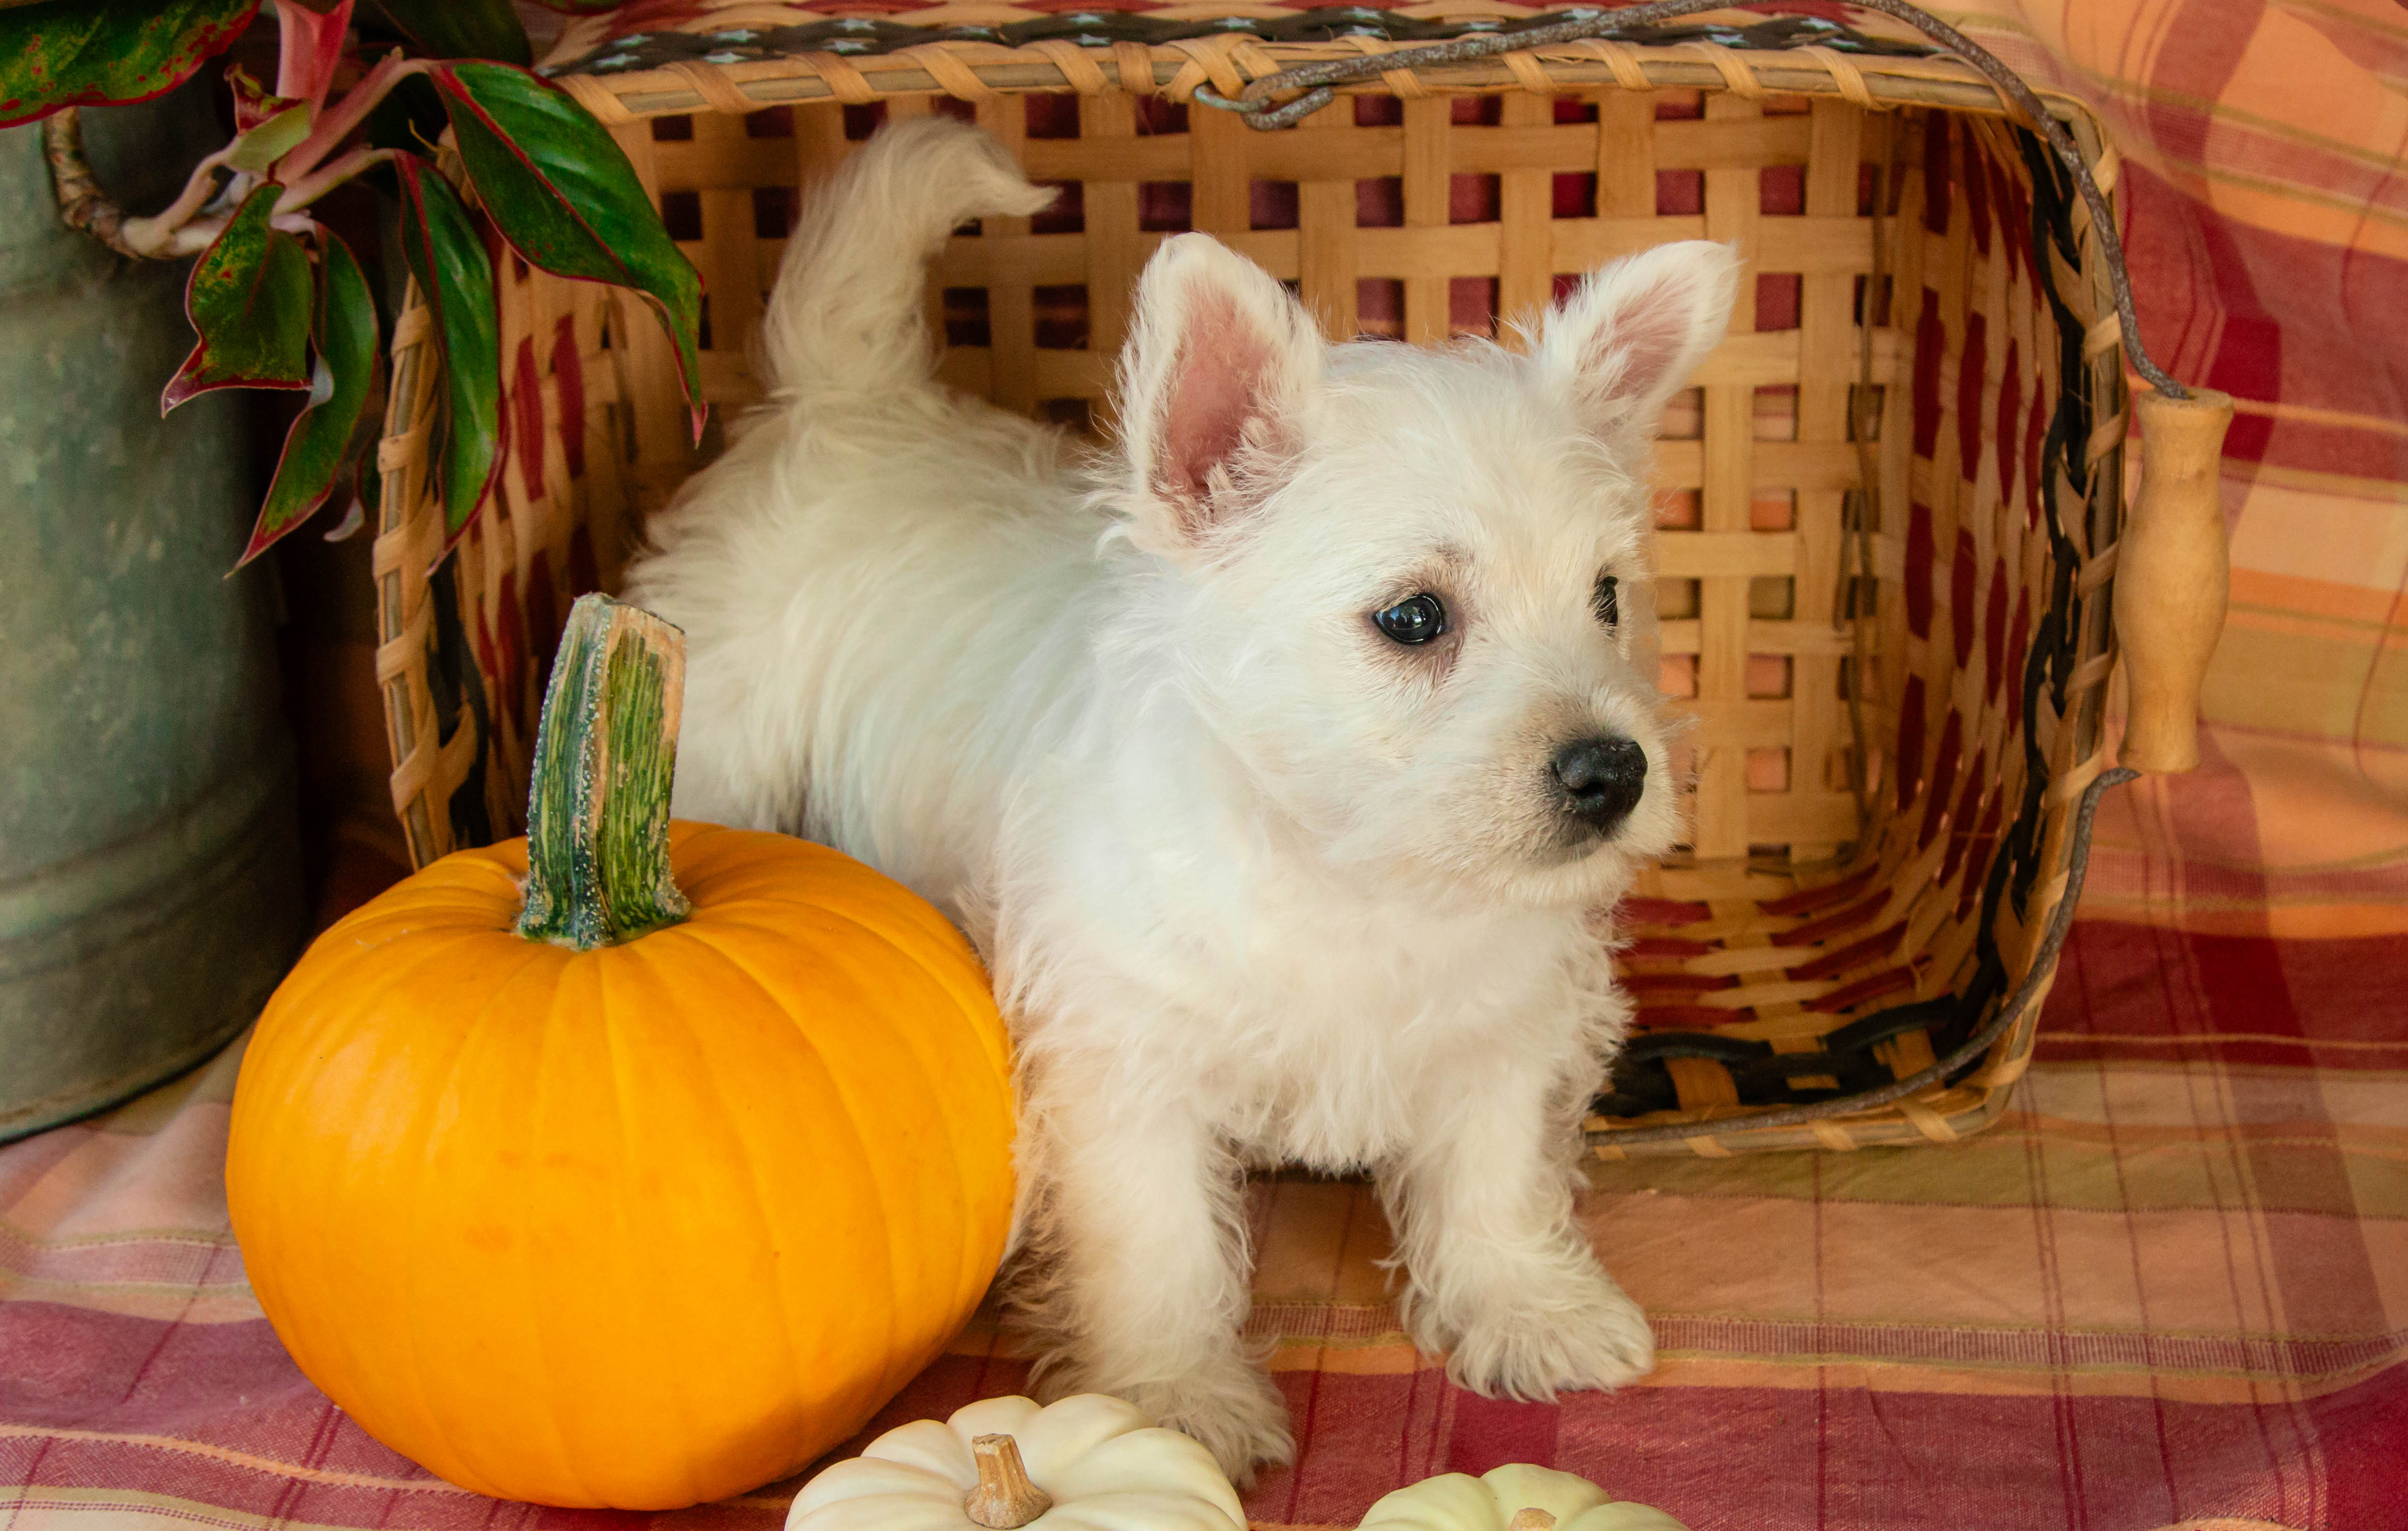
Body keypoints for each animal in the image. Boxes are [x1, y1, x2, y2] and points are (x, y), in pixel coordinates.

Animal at [626, 114, 1733, 1473]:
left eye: (1608, 597)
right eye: (1414, 617)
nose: (1613, 770)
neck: (1353, 875)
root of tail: (846, 401)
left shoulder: (1503, 1024)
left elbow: (1493, 1170)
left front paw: (1531, 1312)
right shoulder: (1121, 1061)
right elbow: (1154, 1239)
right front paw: (1170, 1401)